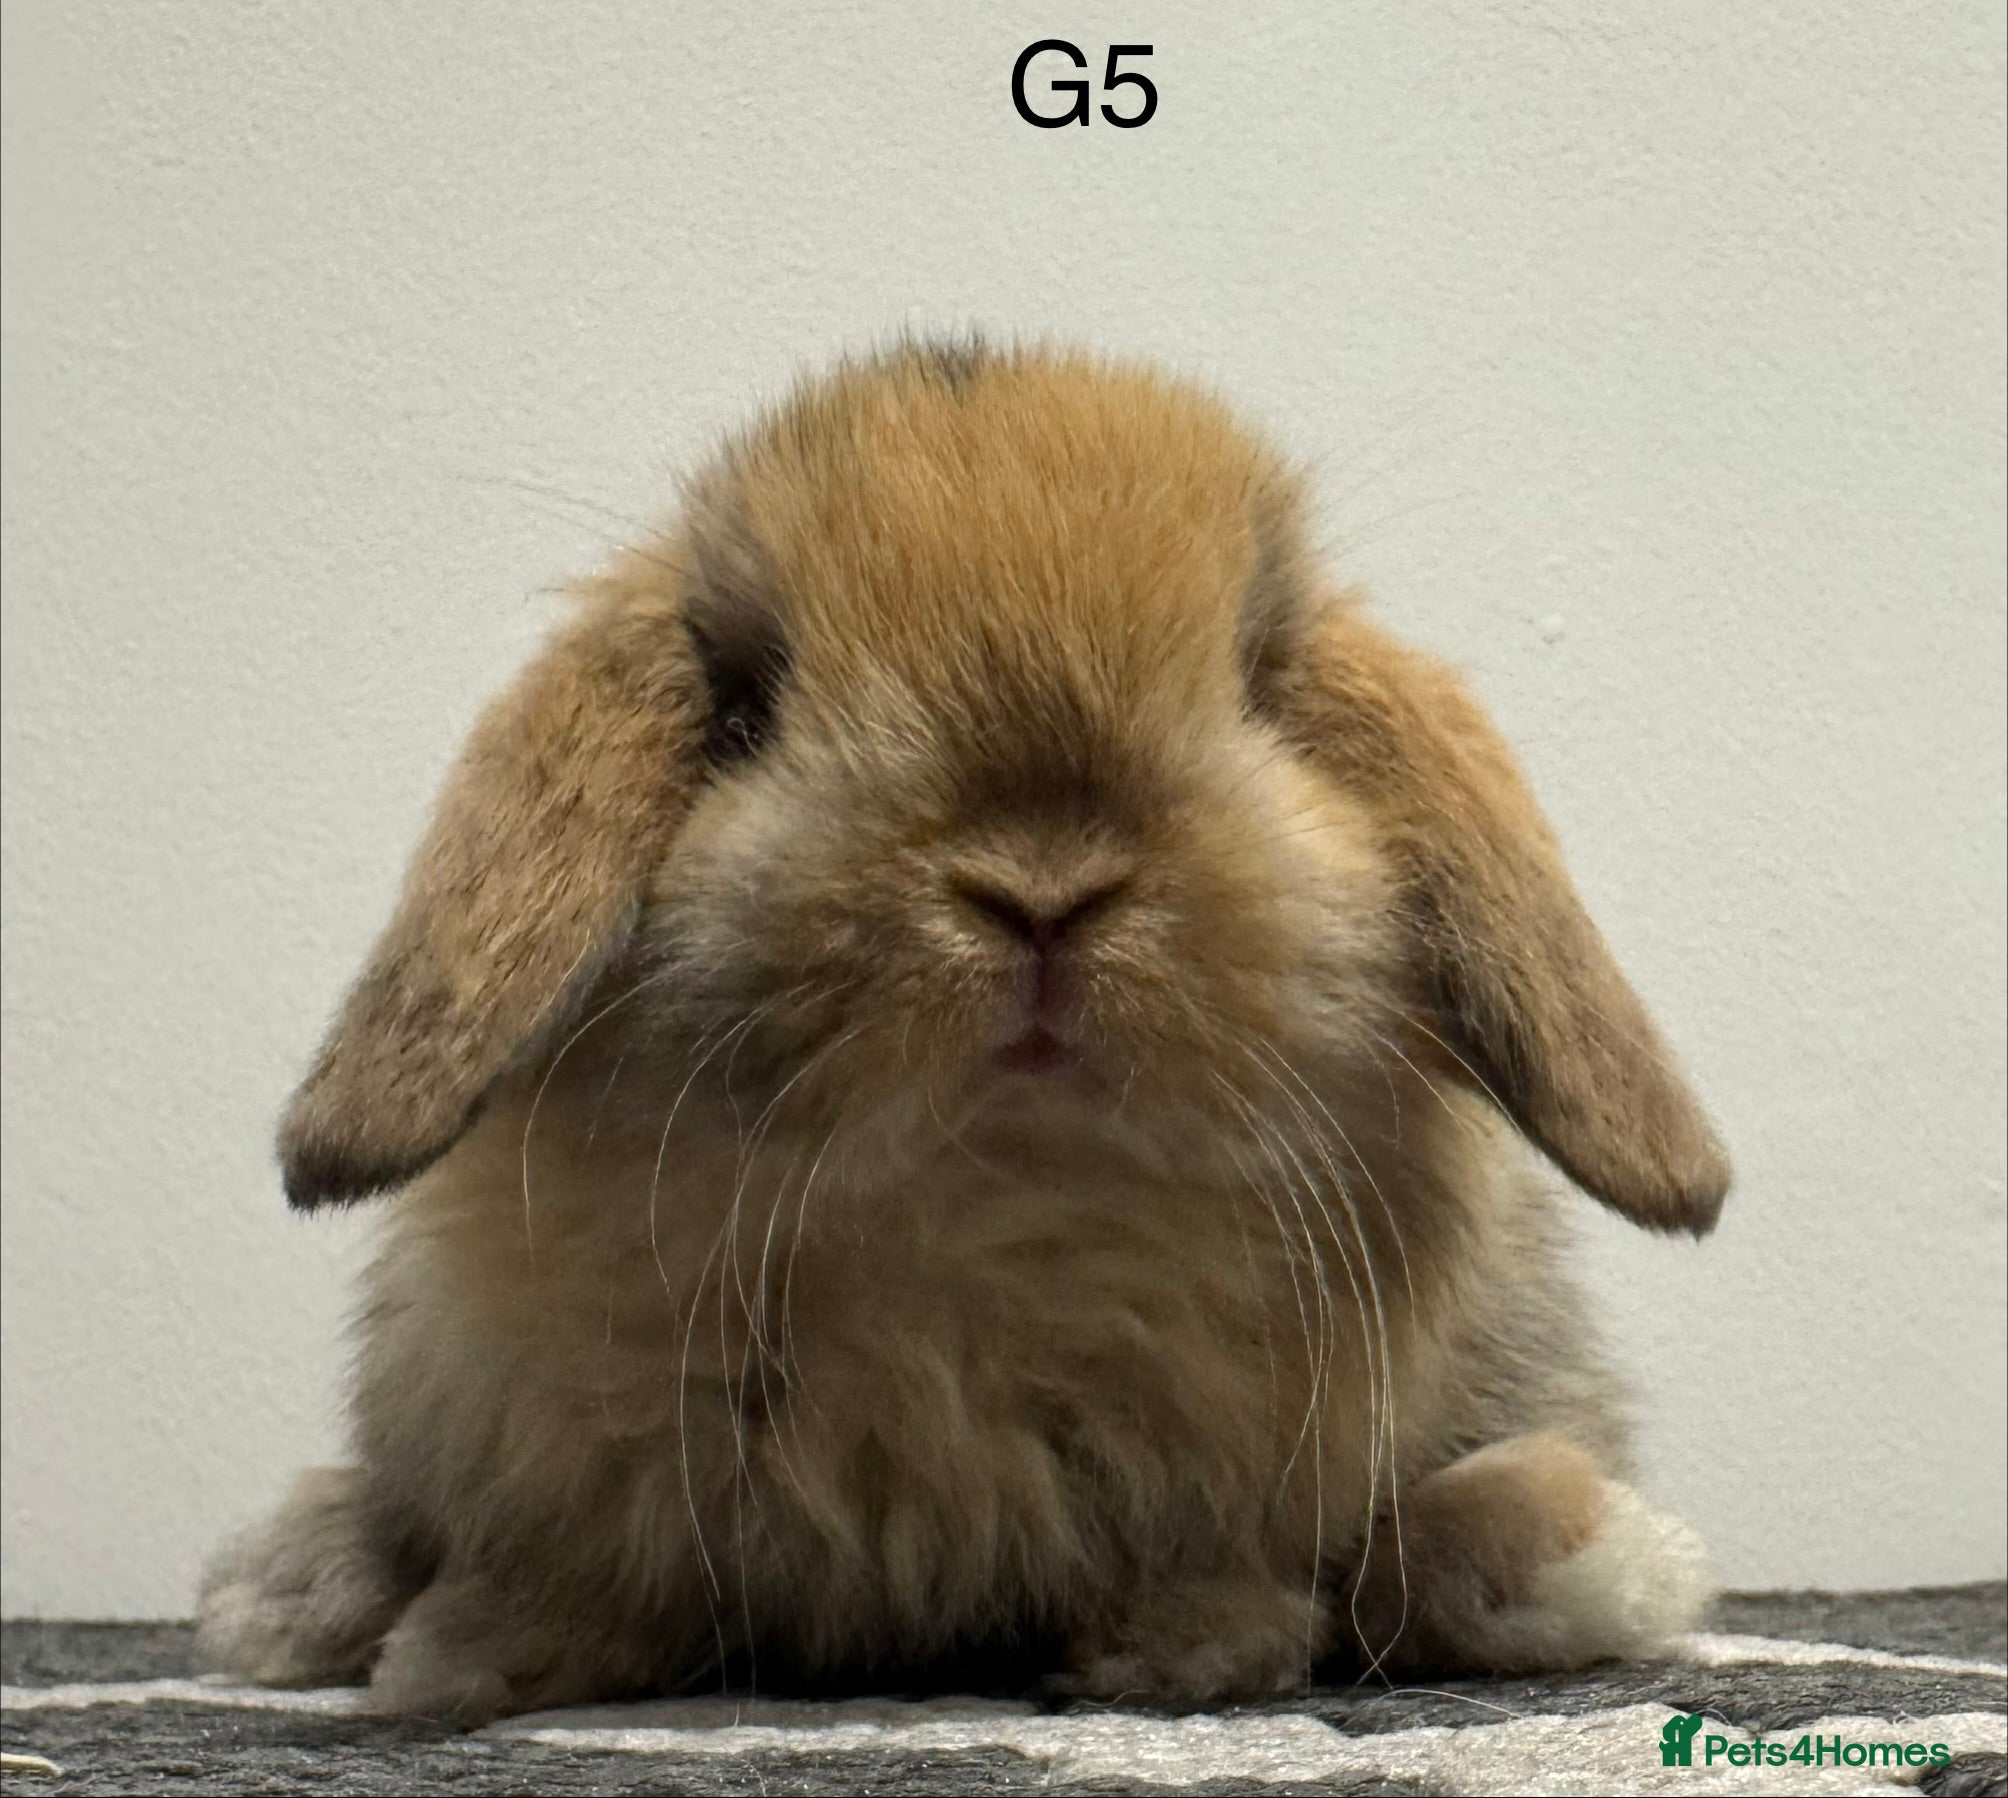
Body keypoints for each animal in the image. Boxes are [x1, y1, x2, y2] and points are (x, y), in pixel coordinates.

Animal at [198, 339, 1730, 1723]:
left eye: (1259, 681)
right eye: (744, 699)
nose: (1041, 882)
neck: (1000, 1218)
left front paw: (1191, 1640)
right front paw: (464, 1651)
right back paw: (285, 1587)